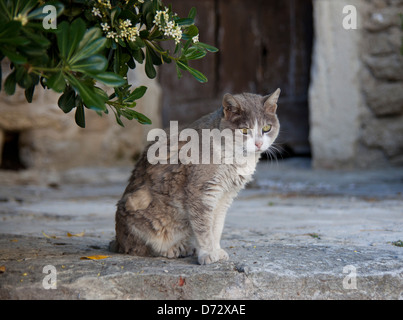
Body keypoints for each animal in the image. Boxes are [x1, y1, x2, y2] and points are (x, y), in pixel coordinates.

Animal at [110, 88, 280, 264]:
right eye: (245, 130)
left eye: (267, 128)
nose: (259, 143)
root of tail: (117, 242)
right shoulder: (200, 192)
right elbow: (204, 228)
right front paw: (208, 253)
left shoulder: (225, 196)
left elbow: (216, 226)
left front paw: (216, 250)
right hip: (136, 210)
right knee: (139, 247)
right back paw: (172, 249)